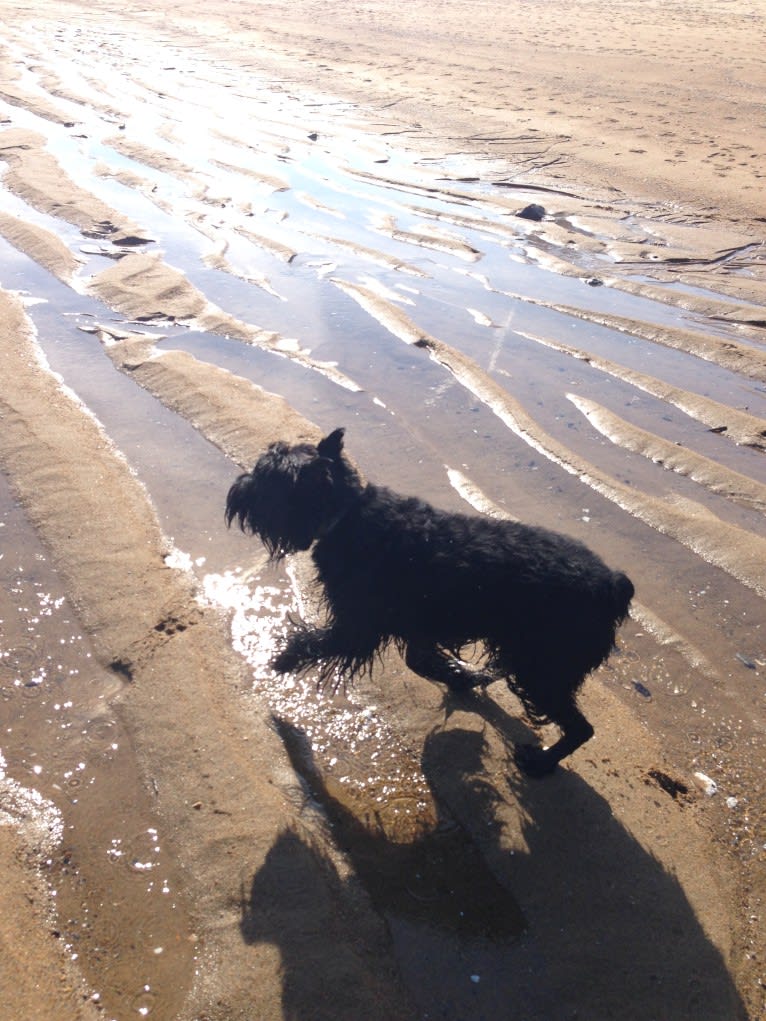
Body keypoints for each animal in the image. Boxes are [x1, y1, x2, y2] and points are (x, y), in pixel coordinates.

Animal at [227, 428, 637, 771]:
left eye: (269, 477)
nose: (237, 490)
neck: (348, 515)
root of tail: (614, 585)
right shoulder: (413, 627)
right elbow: (419, 660)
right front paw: (454, 674)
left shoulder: (358, 628)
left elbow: (313, 641)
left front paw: (281, 660)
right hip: (528, 653)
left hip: (543, 667)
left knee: (580, 727)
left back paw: (541, 762)